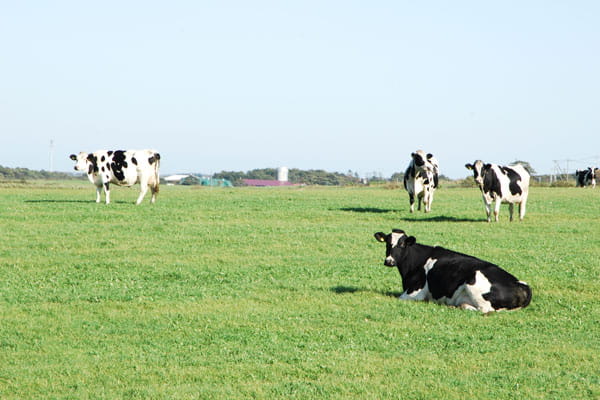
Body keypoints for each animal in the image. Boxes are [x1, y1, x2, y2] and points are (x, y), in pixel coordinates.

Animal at [372, 228, 532, 312]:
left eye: (402, 244)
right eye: (387, 243)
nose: (389, 261)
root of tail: (521, 285)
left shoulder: (415, 293)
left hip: (474, 284)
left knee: (484, 310)